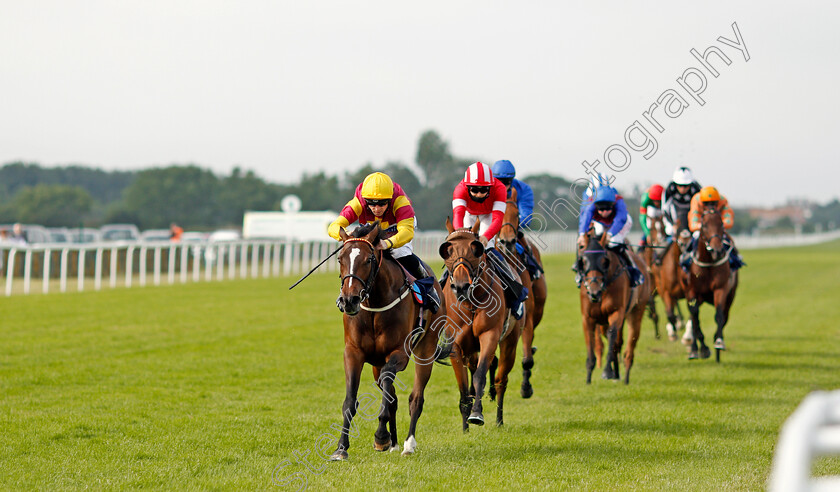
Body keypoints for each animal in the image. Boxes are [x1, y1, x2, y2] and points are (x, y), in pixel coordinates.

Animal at [330, 223, 452, 462]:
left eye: (368, 259)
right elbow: (350, 401)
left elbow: (390, 391)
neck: (374, 304)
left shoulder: (399, 354)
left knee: (416, 398)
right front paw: (341, 448)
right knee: (392, 394)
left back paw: (407, 444)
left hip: (425, 350)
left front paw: (380, 436)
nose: (349, 300)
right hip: (376, 364)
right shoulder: (353, 352)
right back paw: (394, 442)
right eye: (340, 258)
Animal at [440, 218, 520, 426]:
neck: (471, 302)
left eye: (475, 249)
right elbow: (463, 387)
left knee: (501, 379)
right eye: (447, 251)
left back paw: (499, 420)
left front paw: (476, 414)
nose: (461, 286)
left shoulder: (489, 335)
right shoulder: (456, 344)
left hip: (510, 341)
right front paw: (465, 427)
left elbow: (480, 375)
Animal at [576, 228, 648, 384]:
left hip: (635, 313)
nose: (594, 291)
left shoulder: (616, 312)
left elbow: (612, 335)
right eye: (583, 261)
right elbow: (592, 339)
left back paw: (626, 375)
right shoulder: (588, 318)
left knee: (629, 344)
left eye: (604, 260)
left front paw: (607, 371)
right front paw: (589, 377)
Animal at [680, 208, 740, 362]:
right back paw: (695, 349)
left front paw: (718, 342)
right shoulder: (692, 292)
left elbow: (719, 315)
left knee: (724, 315)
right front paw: (700, 349)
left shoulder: (721, 289)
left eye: (721, 224)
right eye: (704, 225)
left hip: (730, 297)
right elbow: (695, 316)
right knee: (693, 317)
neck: (707, 263)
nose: (717, 251)